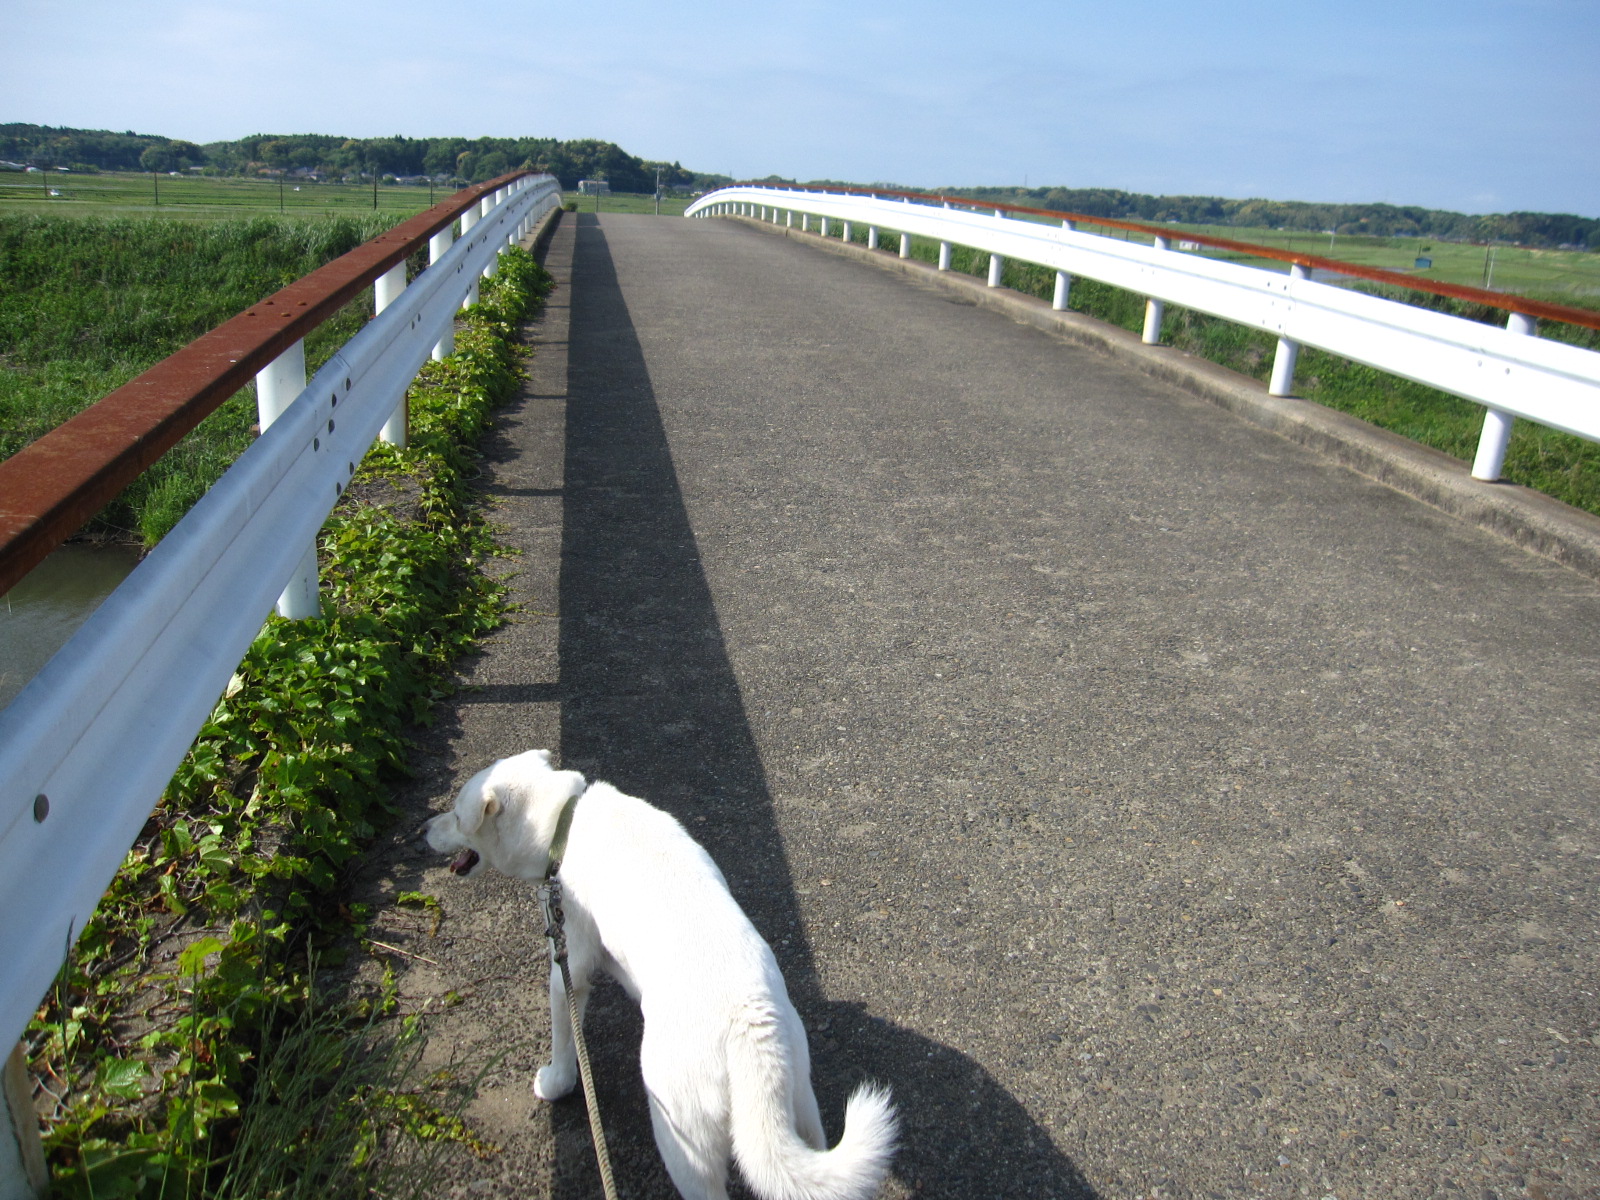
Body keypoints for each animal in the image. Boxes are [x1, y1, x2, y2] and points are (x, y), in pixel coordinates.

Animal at [425, 752, 902, 1200]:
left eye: (455, 815)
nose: (422, 830)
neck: (564, 820)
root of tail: (751, 1025)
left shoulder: (568, 965)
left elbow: (564, 1039)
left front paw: (555, 1083)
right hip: (796, 1108)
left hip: (682, 1136)